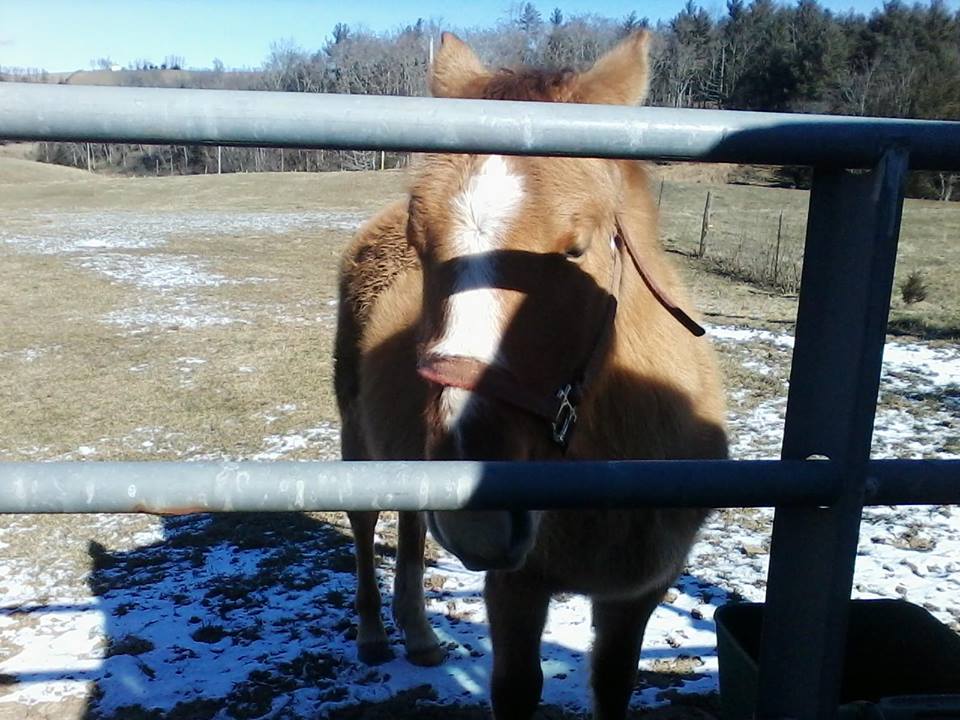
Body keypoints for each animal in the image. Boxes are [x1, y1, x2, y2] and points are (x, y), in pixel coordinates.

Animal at [333, 30, 728, 720]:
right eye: (421, 243)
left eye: (576, 250)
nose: (476, 518)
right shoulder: (515, 589)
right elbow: (516, 688)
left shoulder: (638, 592)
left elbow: (614, 684)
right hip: (360, 443)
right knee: (365, 525)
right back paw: (376, 634)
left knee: (409, 525)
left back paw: (419, 634)